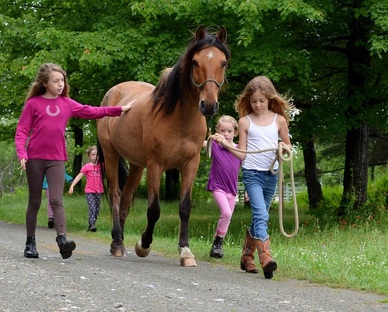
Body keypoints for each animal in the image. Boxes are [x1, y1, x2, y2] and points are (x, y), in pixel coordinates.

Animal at [97, 25, 230, 266]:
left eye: (223, 63)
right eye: (195, 62)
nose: (208, 105)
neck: (179, 118)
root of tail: (112, 93)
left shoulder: (190, 165)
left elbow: (185, 207)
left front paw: (185, 251)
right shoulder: (156, 166)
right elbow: (154, 210)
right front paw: (143, 245)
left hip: (137, 165)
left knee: (126, 198)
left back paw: (119, 241)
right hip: (112, 155)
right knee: (115, 195)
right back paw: (118, 244)